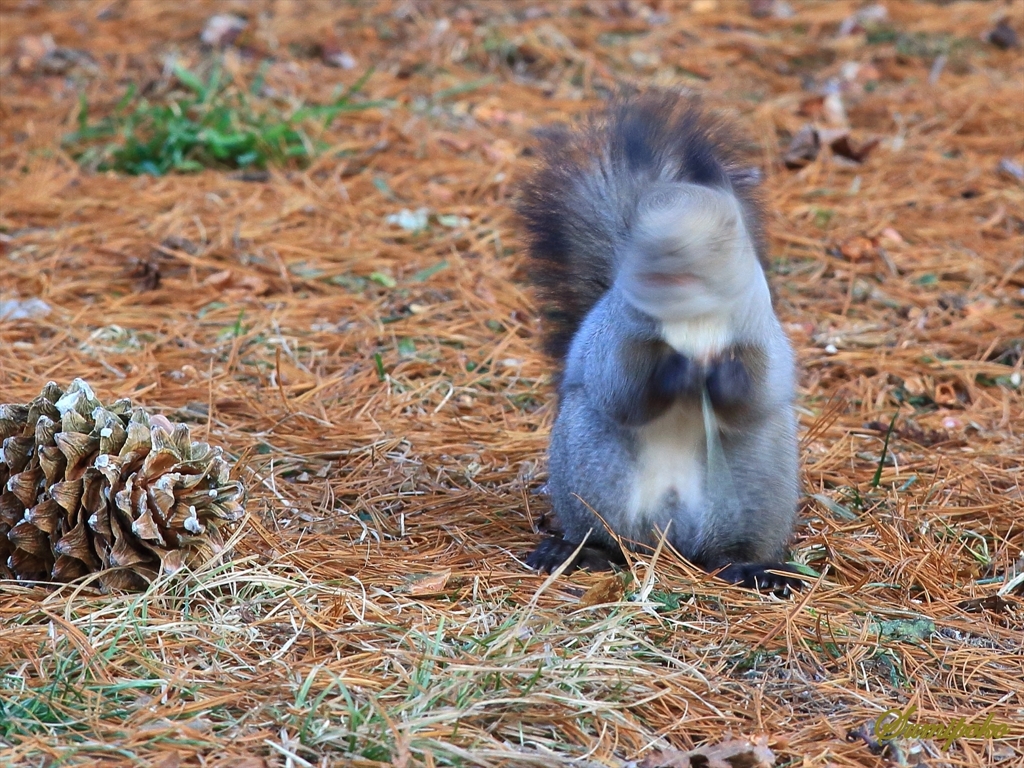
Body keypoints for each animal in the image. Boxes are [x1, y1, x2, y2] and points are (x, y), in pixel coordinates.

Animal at [516, 91, 802, 593]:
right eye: (638, 228)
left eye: (724, 231)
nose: (667, 249)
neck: (690, 319)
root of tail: (667, 535)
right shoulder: (618, 337)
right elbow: (624, 393)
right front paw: (674, 370)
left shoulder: (761, 334)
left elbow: (759, 390)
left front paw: (724, 374)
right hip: (590, 463)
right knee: (607, 537)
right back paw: (575, 551)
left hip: (757, 481)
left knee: (730, 547)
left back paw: (751, 568)